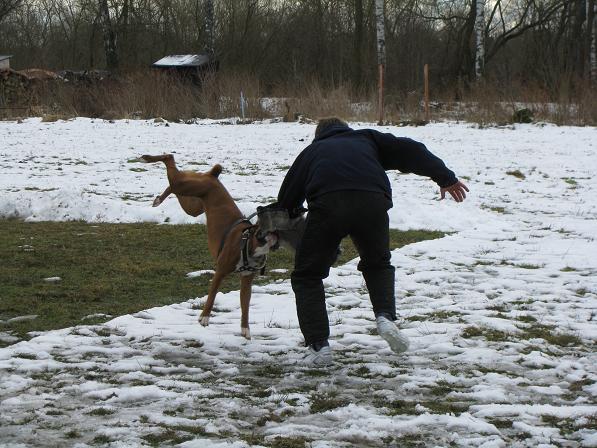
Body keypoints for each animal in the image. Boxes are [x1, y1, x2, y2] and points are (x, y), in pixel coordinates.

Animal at [141, 155, 278, 340]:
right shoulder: (220, 272)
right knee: (170, 161)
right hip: (190, 187)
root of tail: (213, 176)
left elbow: (245, 306)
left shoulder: (246, 282)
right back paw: (147, 159)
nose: (273, 233)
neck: (248, 244)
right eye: (263, 230)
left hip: (193, 204)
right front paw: (204, 317)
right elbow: (212, 296)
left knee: (173, 186)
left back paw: (158, 199)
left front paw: (245, 329)